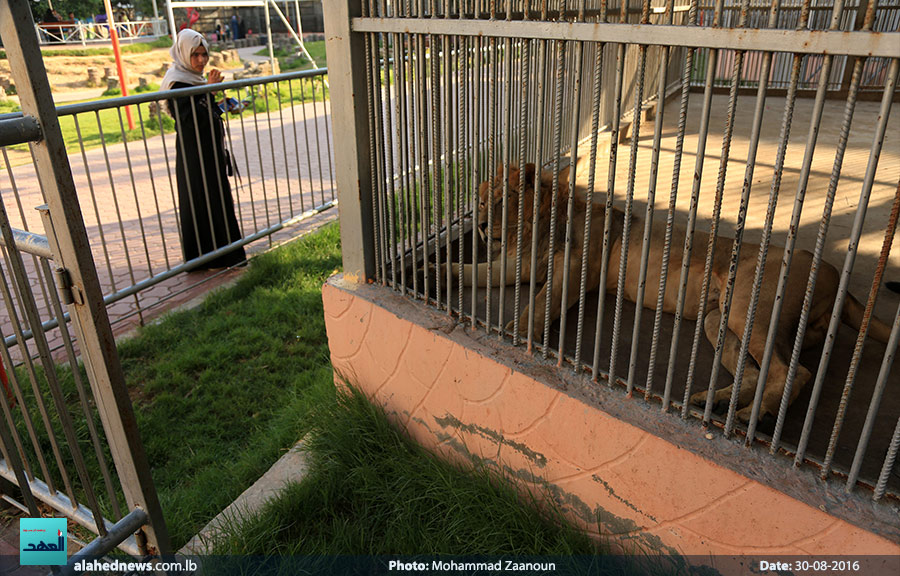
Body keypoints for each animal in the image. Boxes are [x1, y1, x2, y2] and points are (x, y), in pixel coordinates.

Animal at [450, 162, 892, 424]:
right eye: (481, 202)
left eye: (502, 200)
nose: (482, 226)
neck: (533, 231)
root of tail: (832, 272)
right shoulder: (517, 266)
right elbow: (471, 272)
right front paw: (436, 274)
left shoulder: (575, 270)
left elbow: (541, 304)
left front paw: (516, 331)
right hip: (720, 318)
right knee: (758, 370)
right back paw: (716, 401)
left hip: (750, 308)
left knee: (795, 371)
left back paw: (756, 414)